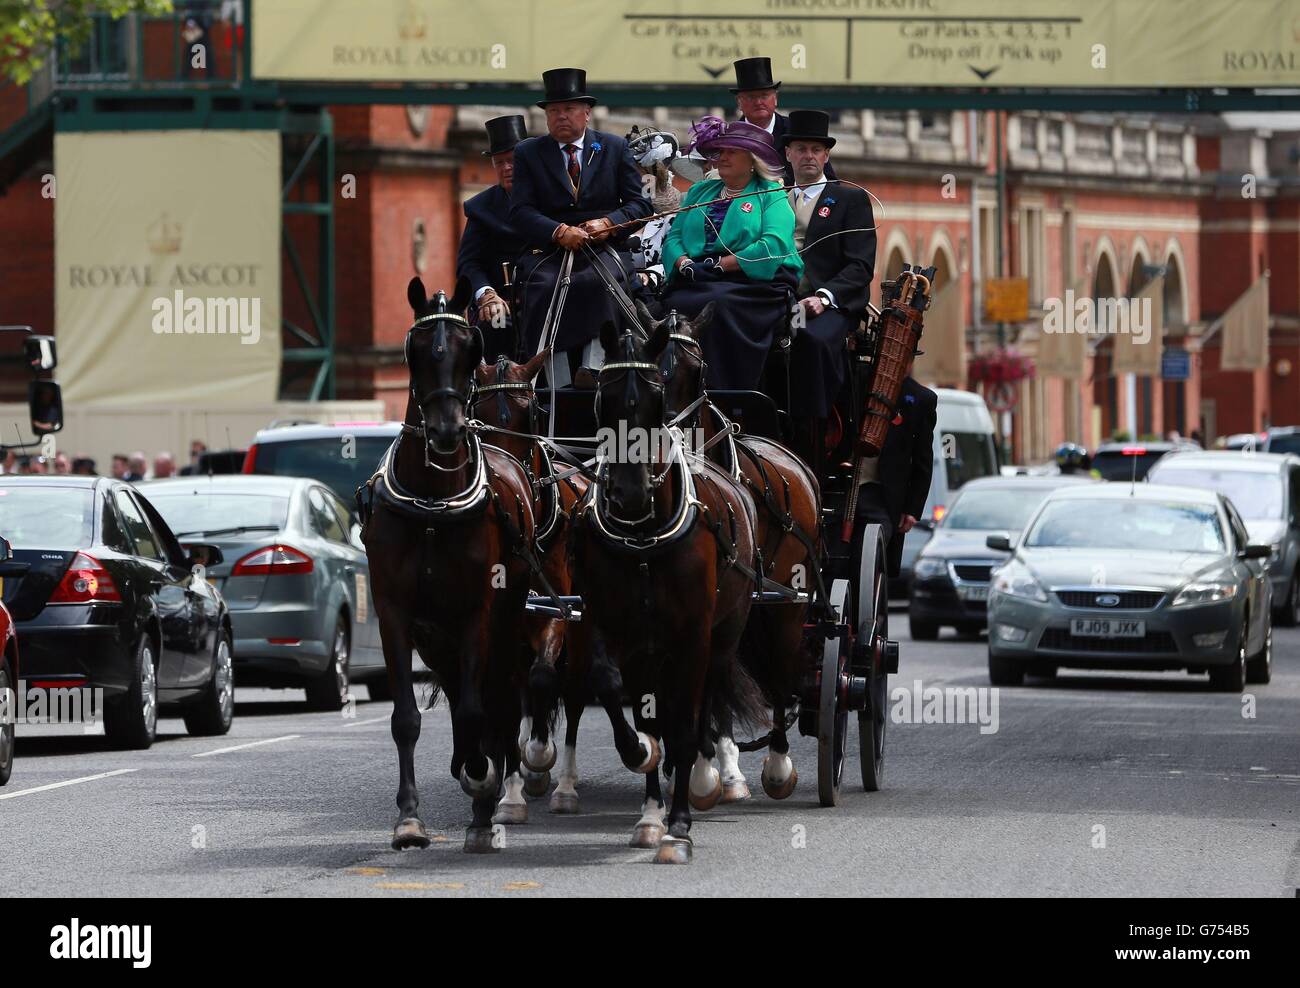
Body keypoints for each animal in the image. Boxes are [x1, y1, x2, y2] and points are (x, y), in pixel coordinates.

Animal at [358, 279, 535, 857]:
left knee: (497, 699)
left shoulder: (478, 612)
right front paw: (409, 819)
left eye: (468, 350)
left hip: (507, 623)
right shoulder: (395, 614)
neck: (434, 503)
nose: (446, 432)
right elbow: (406, 719)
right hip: (437, 637)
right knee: (462, 696)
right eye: (415, 351)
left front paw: (482, 792)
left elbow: (480, 712)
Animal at [473, 351, 590, 816]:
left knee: (571, 690)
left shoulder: (563, 609)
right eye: (478, 413)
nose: (509, 485)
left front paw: (540, 757)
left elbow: (545, 678)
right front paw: (513, 784)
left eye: (532, 413)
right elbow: (515, 690)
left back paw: (563, 783)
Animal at [566, 310, 764, 863]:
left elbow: (684, 725)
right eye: (603, 399)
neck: (643, 535)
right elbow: (619, 696)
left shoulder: (692, 636)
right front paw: (649, 800)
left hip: (724, 635)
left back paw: (707, 776)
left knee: (706, 702)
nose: (629, 494)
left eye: (653, 402)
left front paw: (679, 824)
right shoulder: (616, 630)